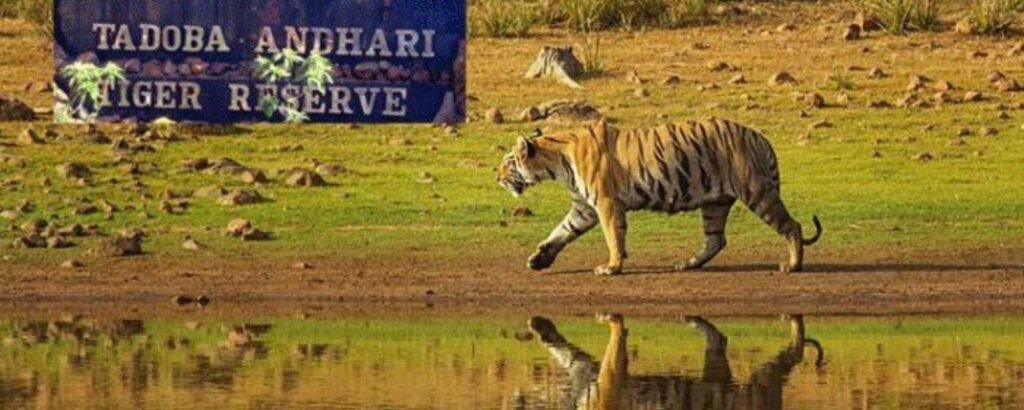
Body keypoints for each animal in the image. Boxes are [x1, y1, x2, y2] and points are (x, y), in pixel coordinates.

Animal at [495, 116, 823, 274]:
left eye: (509, 162)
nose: (496, 177)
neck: (557, 162)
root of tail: (760, 136)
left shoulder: (606, 203)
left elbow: (613, 237)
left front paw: (612, 267)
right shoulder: (583, 208)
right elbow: (561, 231)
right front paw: (539, 259)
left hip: (756, 191)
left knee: (792, 226)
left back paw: (793, 266)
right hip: (715, 203)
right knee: (715, 240)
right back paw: (687, 264)